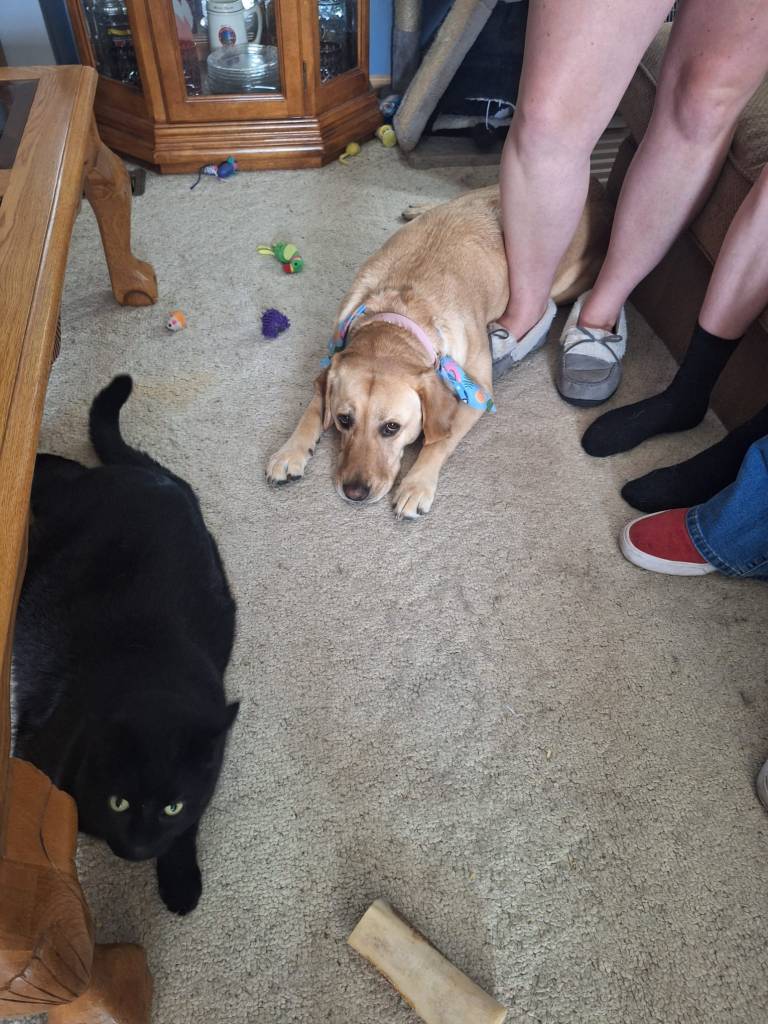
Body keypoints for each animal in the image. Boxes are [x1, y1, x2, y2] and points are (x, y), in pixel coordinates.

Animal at [12, 375, 239, 916]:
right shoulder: (34, 758)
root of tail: (159, 483)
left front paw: (180, 880)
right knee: (61, 473)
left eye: (171, 806)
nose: (138, 848)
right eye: (119, 801)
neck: (149, 670)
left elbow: (191, 823)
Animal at [266, 180, 610, 519]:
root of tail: (598, 188)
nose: (354, 493)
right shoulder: (331, 363)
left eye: (391, 428)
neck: (398, 315)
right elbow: (312, 408)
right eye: (344, 420)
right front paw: (290, 451)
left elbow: (439, 441)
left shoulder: (478, 392)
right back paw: (421, 208)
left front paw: (416, 486)